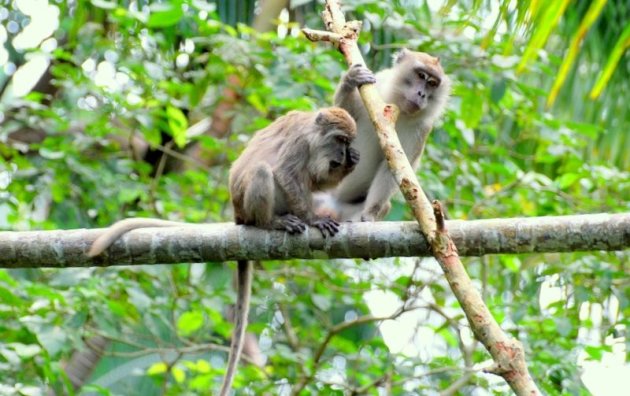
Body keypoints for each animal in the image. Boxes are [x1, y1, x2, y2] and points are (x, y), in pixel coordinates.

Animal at [87, 106, 360, 394]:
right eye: (339, 139)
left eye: (347, 142)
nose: (343, 155)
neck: (312, 133)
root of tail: (237, 216)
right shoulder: (300, 143)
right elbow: (288, 174)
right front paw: (314, 219)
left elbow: (315, 182)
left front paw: (352, 162)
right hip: (249, 208)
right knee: (263, 171)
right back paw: (270, 223)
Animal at [318, 48, 452, 223]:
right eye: (421, 75)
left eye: (433, 83)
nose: (422, 94)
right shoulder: (375, 88)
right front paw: (350, 80)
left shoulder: (421, 129)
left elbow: (395, 168)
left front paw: (369, 214)